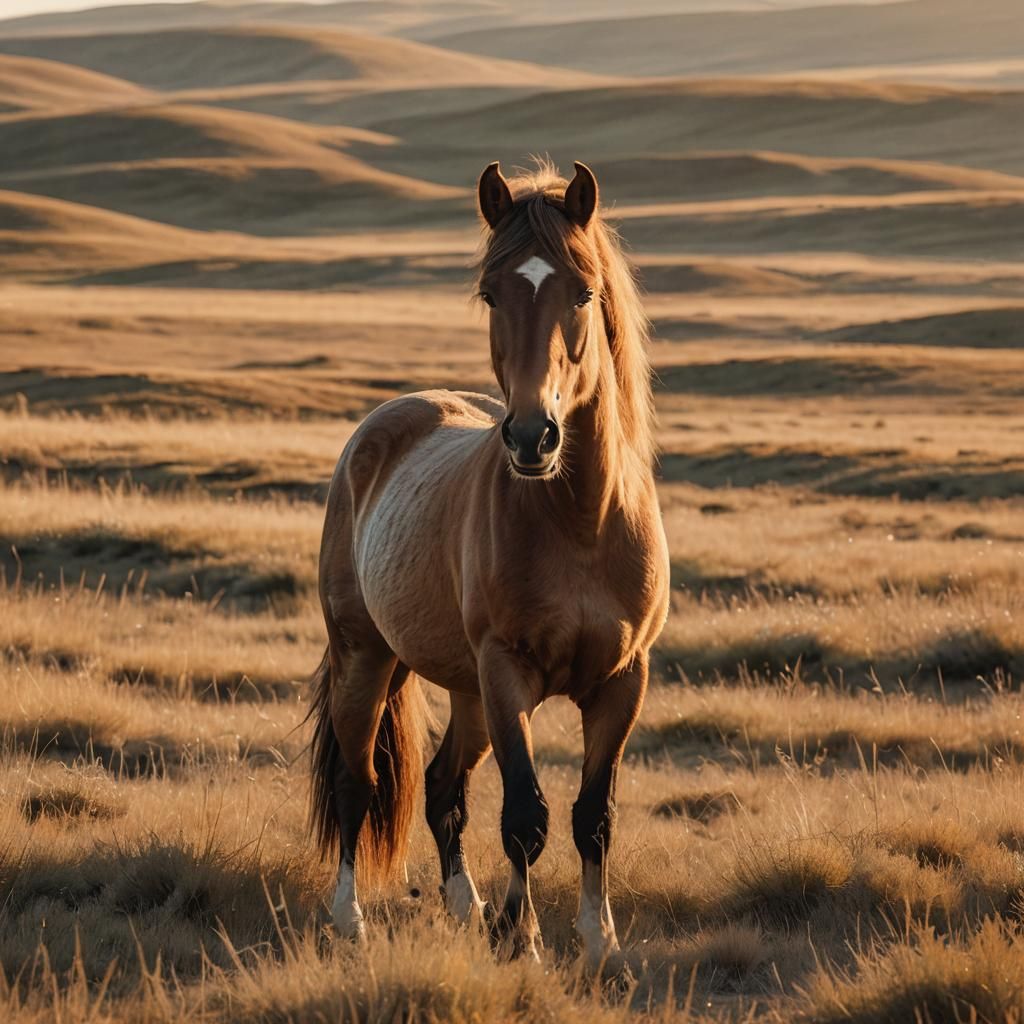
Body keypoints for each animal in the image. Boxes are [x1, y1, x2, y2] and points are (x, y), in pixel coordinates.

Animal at [309, 159, 669, 966]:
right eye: (490, 292)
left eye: (584, 292)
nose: (533, 436)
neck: (580, 524)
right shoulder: (507, 674)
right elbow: (526, 816)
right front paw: (524, 940)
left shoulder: (622, 682)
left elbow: (593, 815)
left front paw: (599, 943)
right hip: (368, 657)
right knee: (357, 780)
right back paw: (350, 918)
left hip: (466, 690)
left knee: (444, 785)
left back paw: (464, 905)